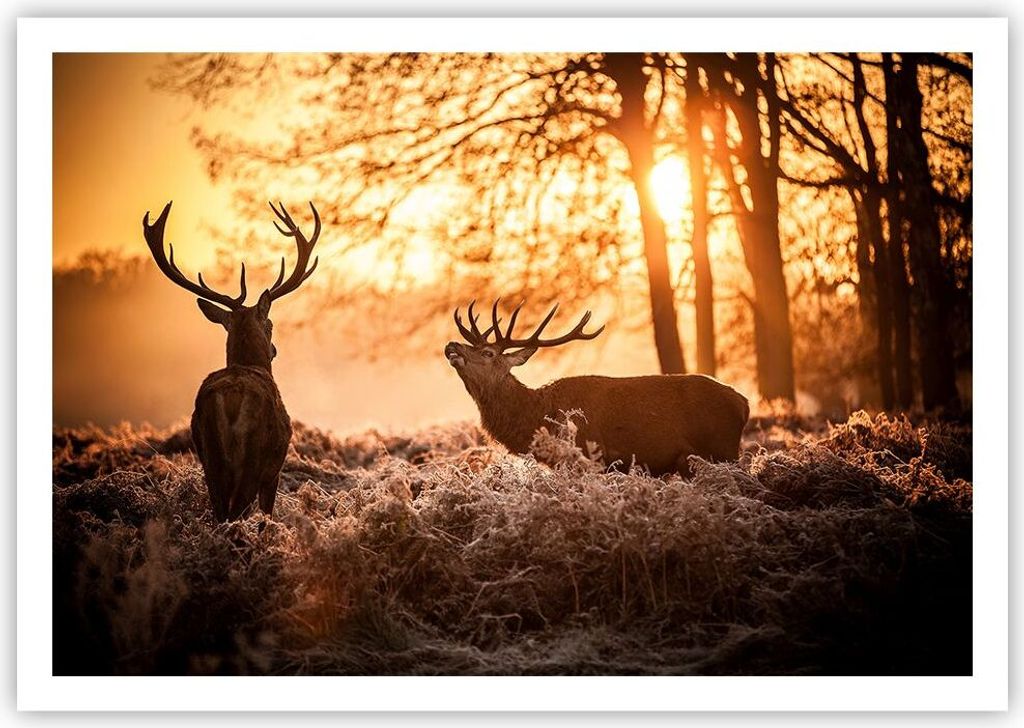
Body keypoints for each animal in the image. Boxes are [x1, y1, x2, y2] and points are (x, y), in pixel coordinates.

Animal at [142, 200, 322, 521]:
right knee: (236, 512)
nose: (274, 349)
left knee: (219, 511)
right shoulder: (273, 471)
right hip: (253, 458)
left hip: (209, 457)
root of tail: (230, 400)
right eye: (270, 324)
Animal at [444, 300, 749, 476]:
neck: (539, 416)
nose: (451, 345)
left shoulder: (589, 458)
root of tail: (744, 403)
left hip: (723, 450)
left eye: (487, 353)